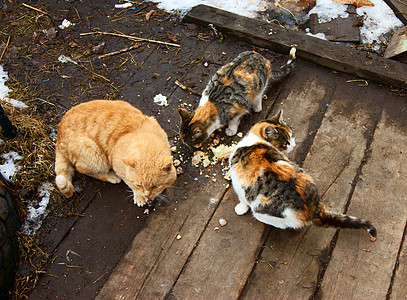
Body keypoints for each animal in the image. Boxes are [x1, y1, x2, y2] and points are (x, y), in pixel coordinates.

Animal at [230, 109, 380, 240]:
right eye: (286, 142)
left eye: (291, 137)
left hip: (262, 210)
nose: (295, 145)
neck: (255, 140)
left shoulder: (238, 183)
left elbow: (242, 199)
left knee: (277, 222)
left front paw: (240, 208)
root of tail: (316, 210)